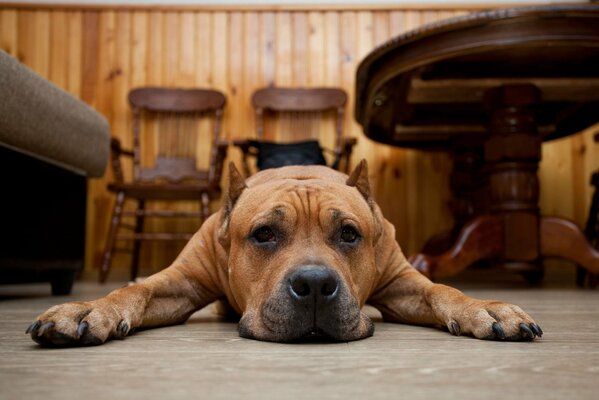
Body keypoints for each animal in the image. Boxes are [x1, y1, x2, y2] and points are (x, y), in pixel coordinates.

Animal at [27, 161, 544, 346]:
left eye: (350, 235)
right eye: (263, 234)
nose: (314, 285)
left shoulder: (404, 282)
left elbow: (442, 290)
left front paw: (485, 308)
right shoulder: (180, 283)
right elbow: (134, 291)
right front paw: (88, 309)